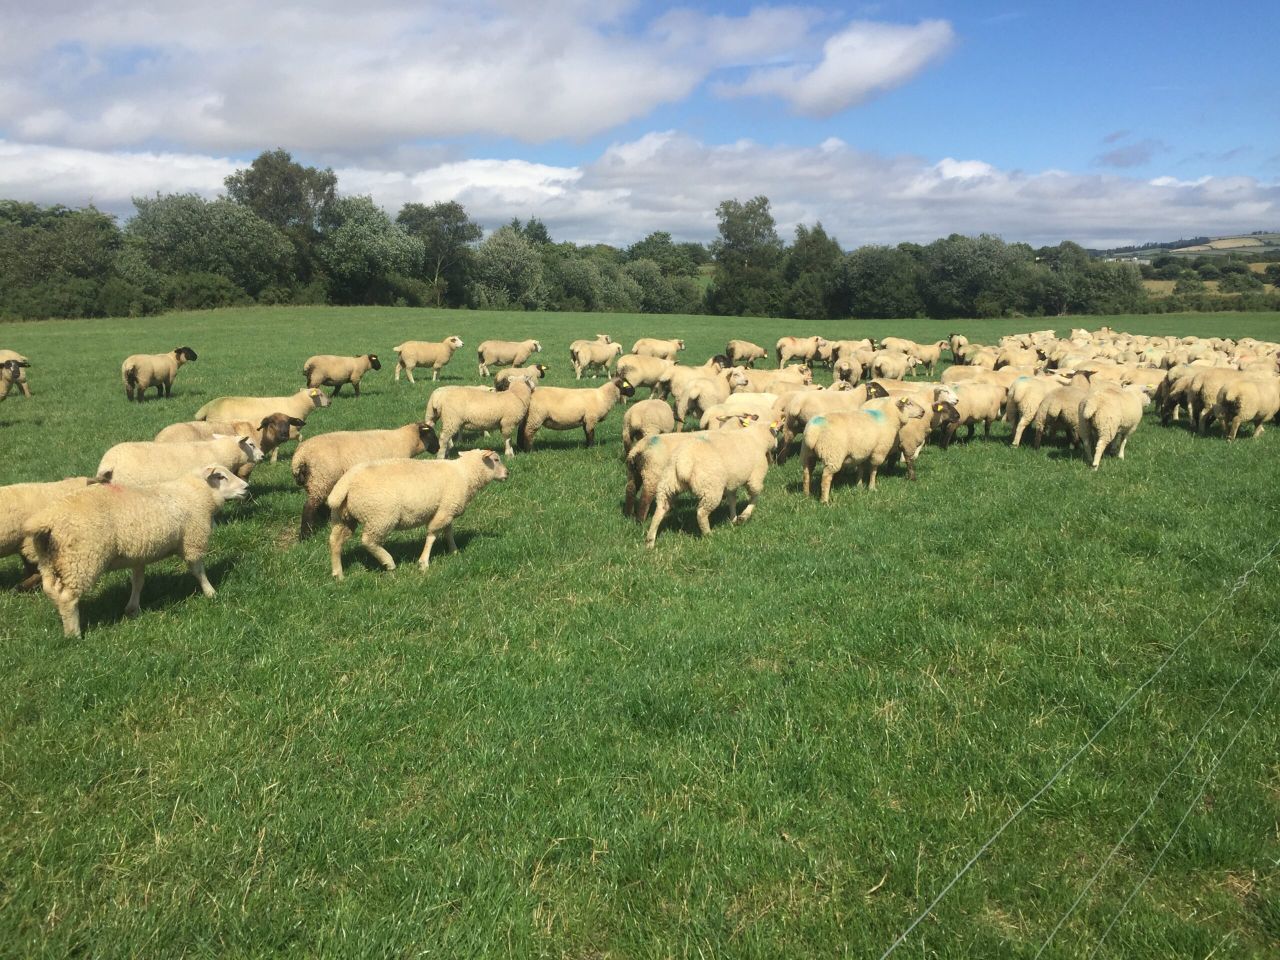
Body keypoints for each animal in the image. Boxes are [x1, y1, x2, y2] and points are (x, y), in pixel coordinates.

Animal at [22, 465, 249, 637]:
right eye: (220, 476)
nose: (246, 488)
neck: (196, 493)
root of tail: (47, 520)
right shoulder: (192, 540)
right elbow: (198, 571)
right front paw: (211, 593)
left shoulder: (139, 554)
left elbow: (138, 582)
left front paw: (132, 609)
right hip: (81, 560)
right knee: (68, 597)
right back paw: (74, 634)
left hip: (50, 560)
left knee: (51, 590)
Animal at [194, 388, 332, 461]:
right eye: (320, 394)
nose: (330, 402)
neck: (298, 405)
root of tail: (206, 408)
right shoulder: (289, 431)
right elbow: (299, 438)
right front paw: (275, 460)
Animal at [292, 421, 442, 538]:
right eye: (432, 435)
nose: (438, 448)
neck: (406, 441)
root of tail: (300, 456)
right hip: (321, 478)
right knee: (309, 507)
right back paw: (306, 535)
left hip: (314, 481)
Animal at [327, 449, 508, 579]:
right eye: (496, 460)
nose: (508, 473)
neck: (465, 474)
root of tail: (347, 481)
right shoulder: (443, 512)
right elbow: (432, 535)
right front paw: (423, 563)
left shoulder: (447, 509)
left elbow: (448, 532)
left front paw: (454, 551)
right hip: (380, 517)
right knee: (368, 541)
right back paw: (389, 563)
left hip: (343, 517)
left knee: (335, 541)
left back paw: (338, 574)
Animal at [645, 420, 781, 547]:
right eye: (776, 432)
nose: (776, 446)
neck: (757, 438)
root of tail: (684, 460)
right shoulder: (755, 477)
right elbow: (754, 497)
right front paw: (743, 516)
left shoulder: (731, 482)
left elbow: (732, 500)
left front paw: (733, 519)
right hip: (710, 488)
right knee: (701, 513)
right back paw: (709, 535)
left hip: (668, 483)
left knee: (659, 511)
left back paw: (650, 541)